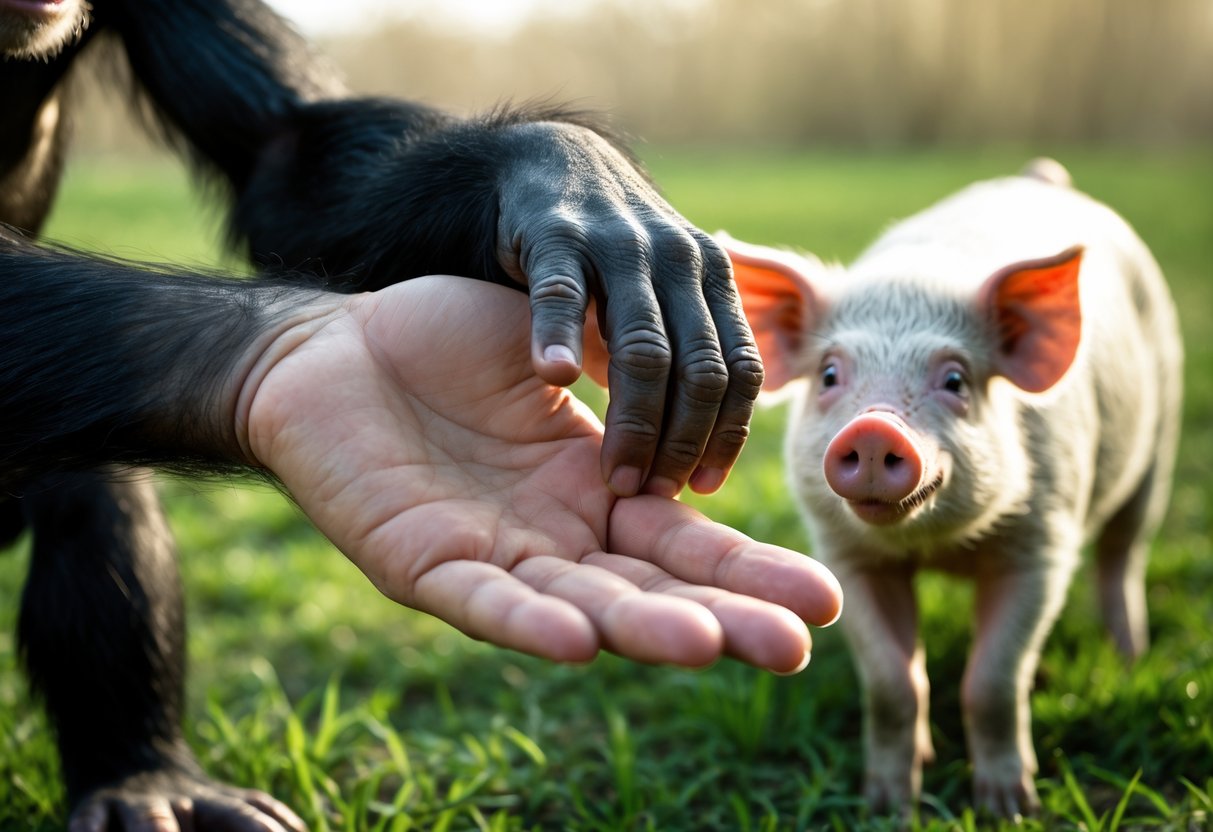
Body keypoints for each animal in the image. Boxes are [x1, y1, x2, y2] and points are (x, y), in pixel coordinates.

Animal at [721, 159, 1183, 818]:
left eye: (957, 380)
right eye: (830, 374)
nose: (874, 428)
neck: (936, 546)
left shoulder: (1042, 544)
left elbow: (991, 681)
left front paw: (1009, 809)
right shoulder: (847, 555)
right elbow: (892, 682)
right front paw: (888, 805)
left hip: (1159, 441)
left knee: (1123, 553)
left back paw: (1128, 656)